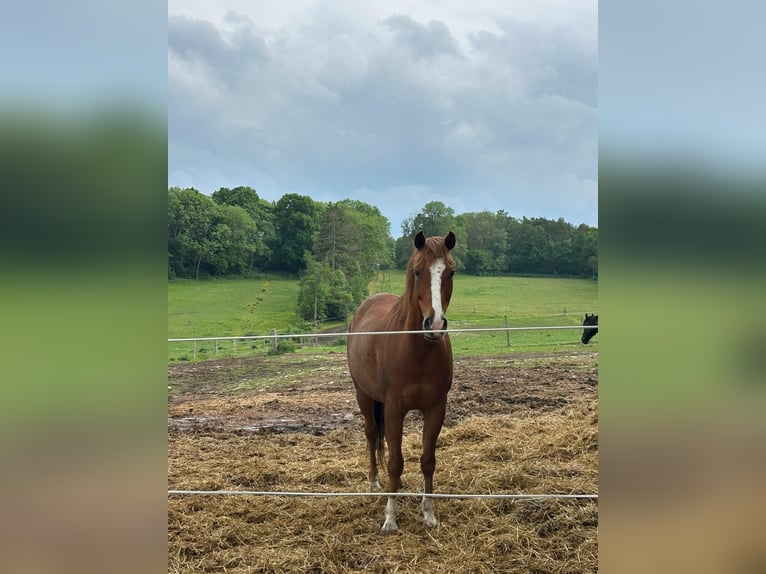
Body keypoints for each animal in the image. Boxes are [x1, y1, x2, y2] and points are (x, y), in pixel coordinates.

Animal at [347, 230, 456, 534]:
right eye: (418, 272)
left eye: (450, 272)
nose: (435, 324)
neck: (417, 351)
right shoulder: (395, 408)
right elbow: (395, 462)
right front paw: (390, 518)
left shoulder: (435, 408)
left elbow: (428, 461)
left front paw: (429, 514)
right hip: (364, 395)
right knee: (372, 432)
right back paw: (375, 482)